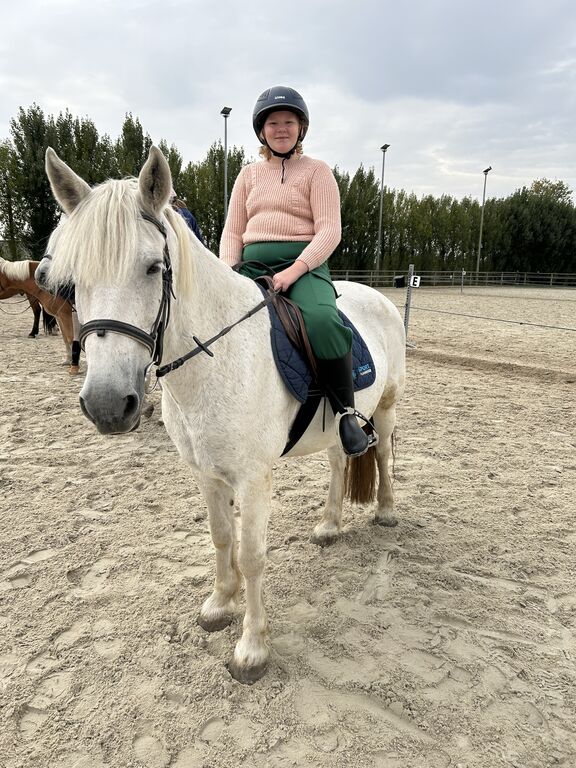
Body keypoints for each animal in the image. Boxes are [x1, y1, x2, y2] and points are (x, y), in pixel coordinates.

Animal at [39, 146, 406, 683]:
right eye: (72, 280)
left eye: (154, 268)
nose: (107, 405)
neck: (216, 357)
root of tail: (377, 295)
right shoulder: (207, 474)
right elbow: (219, 537)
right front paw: (218, 605)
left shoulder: (253, 478)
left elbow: (251, 555)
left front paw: (252, 647)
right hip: (339, 425)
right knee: (341, 459)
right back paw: (329, 525)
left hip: (386, 407)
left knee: (380, 457)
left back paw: (385, 512)